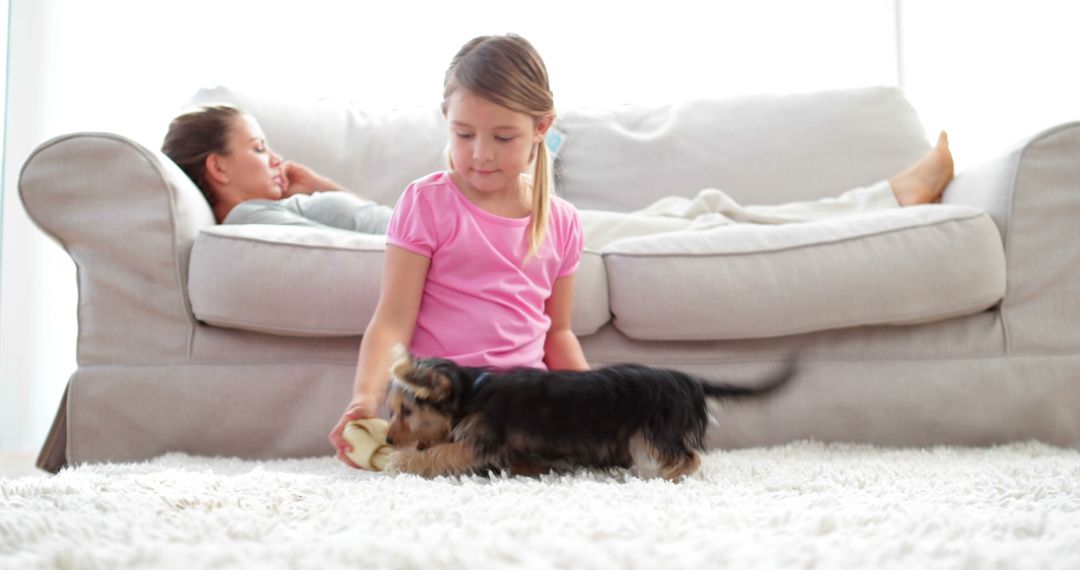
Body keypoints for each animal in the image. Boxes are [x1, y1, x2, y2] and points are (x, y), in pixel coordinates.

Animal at [384, 343, 790, 481]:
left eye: (406, 411)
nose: (387, 439)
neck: (472, 392)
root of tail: (689, 380)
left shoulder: (481, 440)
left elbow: (440, 453)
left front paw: (401, 461)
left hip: (657, 430)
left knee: (689, 458)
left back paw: (663, 476)